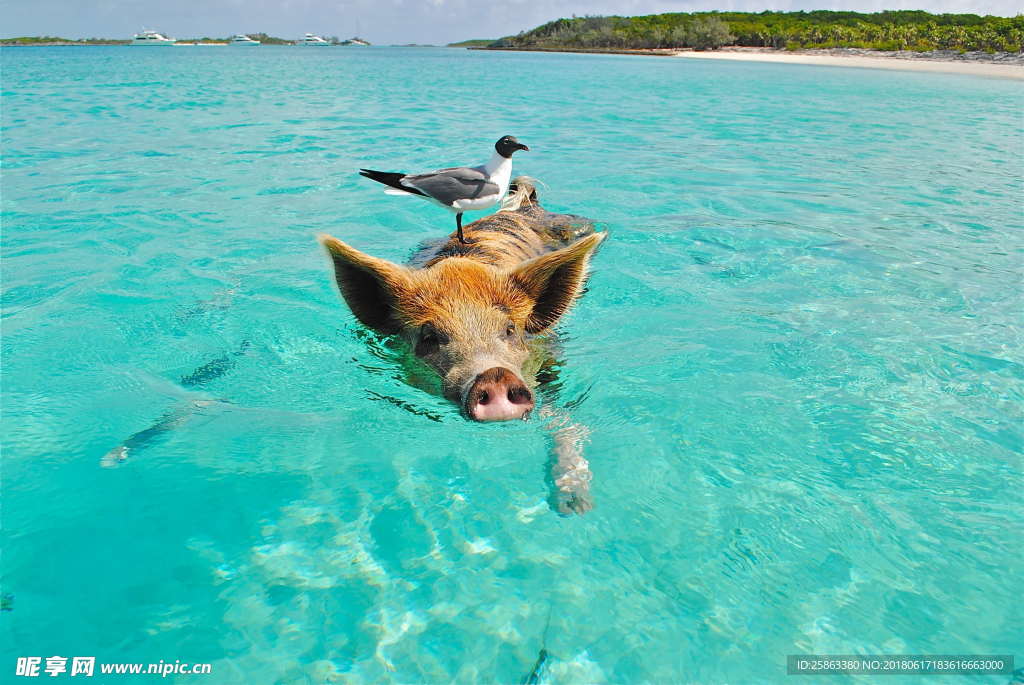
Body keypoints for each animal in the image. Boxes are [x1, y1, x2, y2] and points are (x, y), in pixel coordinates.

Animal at [323, 178, 602, 511]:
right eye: (429, 338)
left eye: (510, 329)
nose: (495, 375)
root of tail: (522, 206)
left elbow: (561, 419)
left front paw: (574, 506)